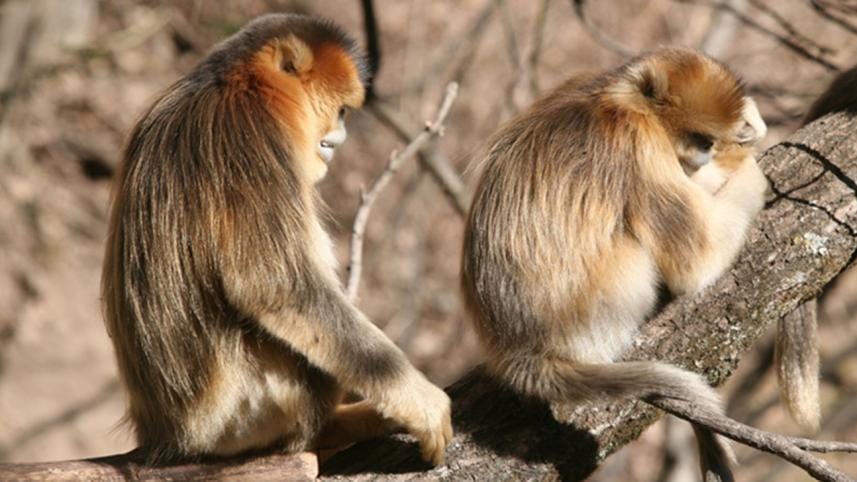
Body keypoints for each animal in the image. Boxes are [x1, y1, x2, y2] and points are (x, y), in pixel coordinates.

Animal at [101, 14, 452, 465]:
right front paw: (419, 400)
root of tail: (172, 439)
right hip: (242, 413)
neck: (233, 84)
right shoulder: (251, 134)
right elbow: (275, 288)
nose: (338, 141)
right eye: (341, 111)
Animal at [461, 48, 768, 481]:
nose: (707, 151)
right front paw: (750, 165)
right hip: (603, 301)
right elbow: (697, 262)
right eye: (700, 138)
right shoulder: (640, 142)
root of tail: (519, 351)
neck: (616, 96)